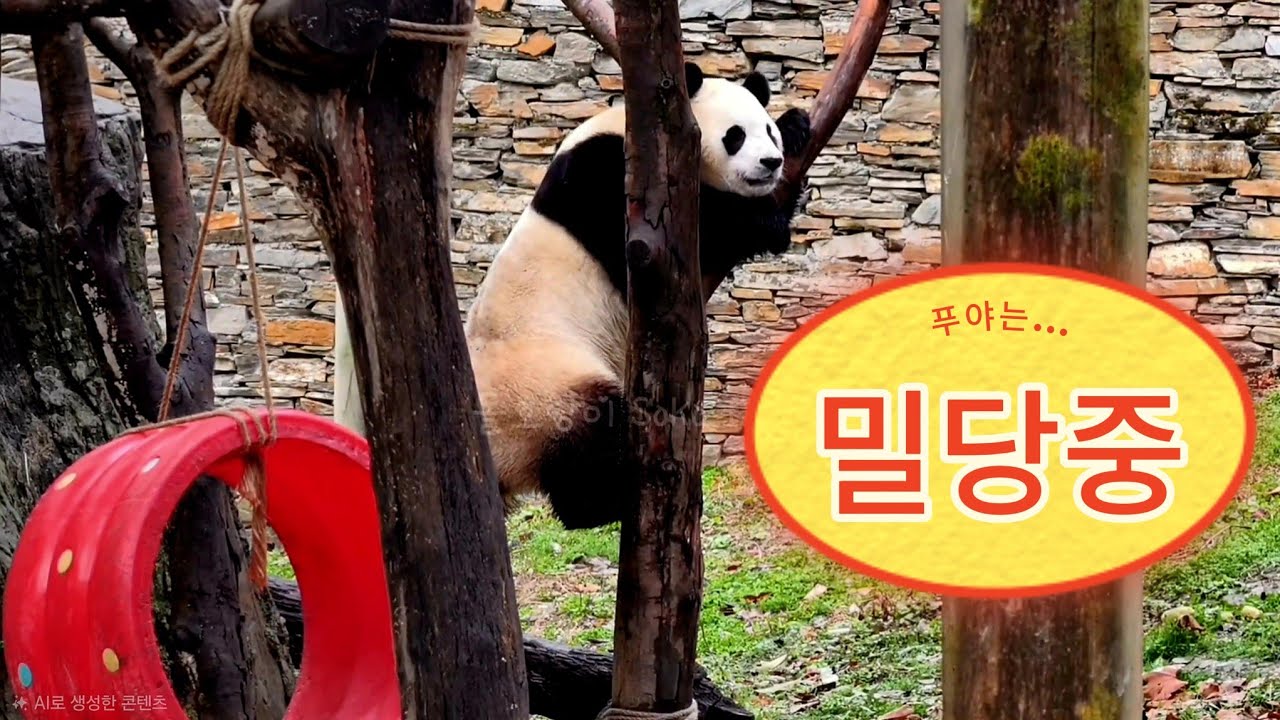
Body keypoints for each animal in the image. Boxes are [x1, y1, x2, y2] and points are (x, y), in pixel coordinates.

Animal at [333, 62, 811, 529]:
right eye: (735, 135)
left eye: (767, 130)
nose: (770, 162)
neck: (632, 128)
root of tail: (496, 461)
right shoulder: (608, 182)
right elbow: (691, 233)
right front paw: (762, 219)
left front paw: (798, 125)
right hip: (542, 388)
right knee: (594, 433)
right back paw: (609, 501)